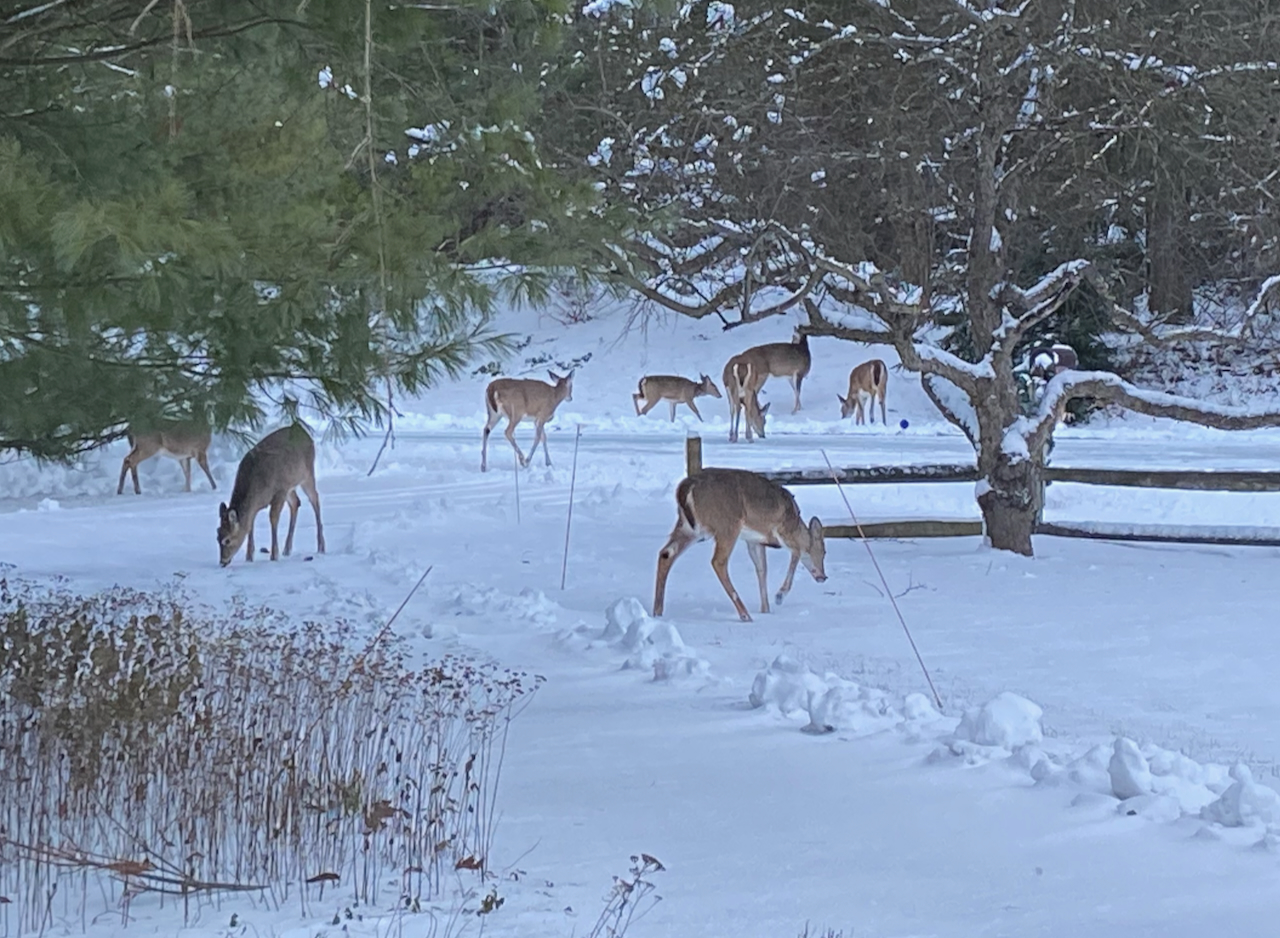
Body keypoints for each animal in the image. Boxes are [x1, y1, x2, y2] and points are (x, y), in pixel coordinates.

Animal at [216, 424, 325, 567]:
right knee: (296, 502)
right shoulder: (263, 501)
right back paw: (287, 549)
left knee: (315, 499)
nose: (222, 561)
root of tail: (301, 429)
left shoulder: (279, 491)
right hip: (290, 486)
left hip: (307, 475)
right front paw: (249, 557)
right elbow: (250, 524)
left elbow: (273, 518)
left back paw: (321, 547)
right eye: (217, 536)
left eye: (227, 540)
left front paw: (274, 555)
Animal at [653, 468, 827, 623]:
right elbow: (796, 553)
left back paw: (657, 611)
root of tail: (686, 487)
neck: (796, 524)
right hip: (727, 525)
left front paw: (766, 609)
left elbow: (762, 569)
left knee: (666, 553)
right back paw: (745, 615)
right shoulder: (782, 530)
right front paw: (779, 596)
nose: (823, 576)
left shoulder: (754, 541)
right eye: (824, 552)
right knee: (718, 561)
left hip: (689, 528)